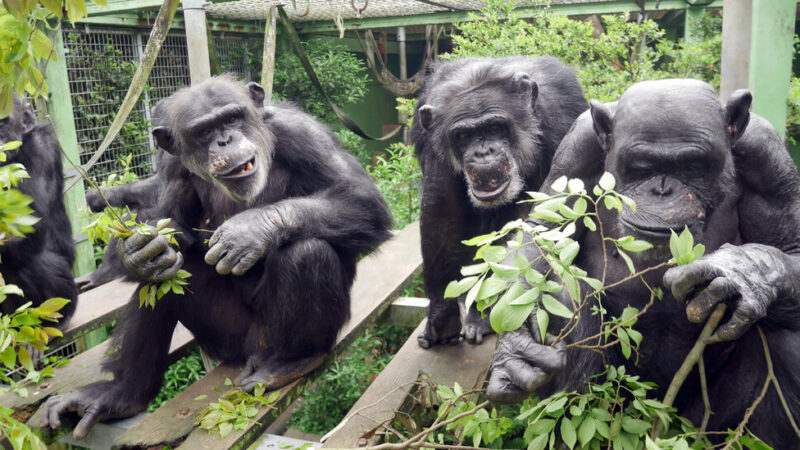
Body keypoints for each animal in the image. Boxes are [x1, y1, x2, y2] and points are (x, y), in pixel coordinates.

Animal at [43, 75, 394, 438]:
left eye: (232, 118)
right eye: (204, 132)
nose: (225, 140)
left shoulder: (303, 133)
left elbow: (360, 197)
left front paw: (249, 230)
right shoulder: (172, 164)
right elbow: (168, 219)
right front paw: (136, 252)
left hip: (270, 340)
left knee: (308, 252)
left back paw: (290, 362)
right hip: (227, 339)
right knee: (163, 280)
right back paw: (122, 394)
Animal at [412, 53, 588, 348]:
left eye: (495, 127)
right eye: (463, 136)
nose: (483, 152)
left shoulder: (561, 118)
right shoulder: (432, 141)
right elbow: (441, 211)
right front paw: (442, 316)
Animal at [484, 79, 800, 448]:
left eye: (692, 166)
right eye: (642, 167)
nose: (662, 189)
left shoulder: (767, 156)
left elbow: (790, 249)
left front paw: (743, 273)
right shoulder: (577, 147)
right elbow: (544, 235)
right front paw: (515, 349)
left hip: (703, 423)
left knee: (785, 331)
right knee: (568, 297)